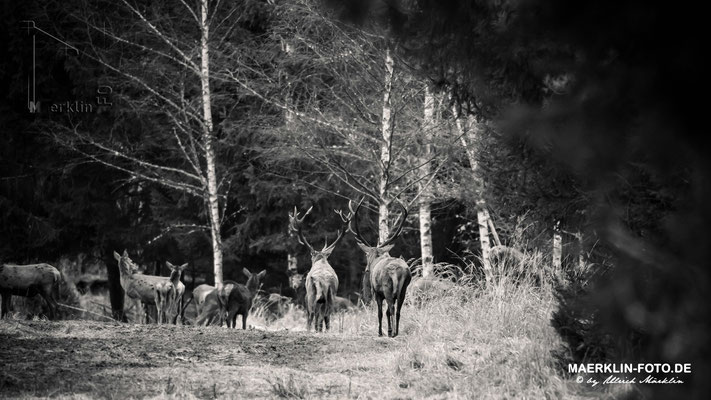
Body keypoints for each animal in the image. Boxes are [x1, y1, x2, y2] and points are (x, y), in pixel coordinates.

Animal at [288, 203, 354, 332]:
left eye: (311, 255)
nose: (295, 286)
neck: (321, 259)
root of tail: (323, 281)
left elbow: (310, 318)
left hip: (313, 296)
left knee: (314, 316)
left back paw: (313, 331)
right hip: (330, 296)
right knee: (326, 317)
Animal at [346, 200, 408, 338]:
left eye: (366, 254)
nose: (367, 269)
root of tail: (397, 271)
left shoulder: (376, 292)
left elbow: (380, 312)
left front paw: (380, 332)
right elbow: (386, 312)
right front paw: (388, 330)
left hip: (387, 287)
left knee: (392, 308)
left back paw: (393, 333)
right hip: (403, 289)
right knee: (398, 310)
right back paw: (396, 332)